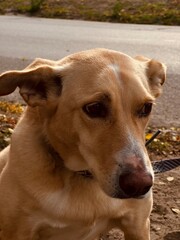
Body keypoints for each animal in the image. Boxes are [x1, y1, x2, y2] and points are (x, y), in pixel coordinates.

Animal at [0, 47, 166, 239]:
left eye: (147, 107)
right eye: (94, 108)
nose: (140, 185)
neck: (86, 178)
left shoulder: (138, 226)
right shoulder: (17, 232)